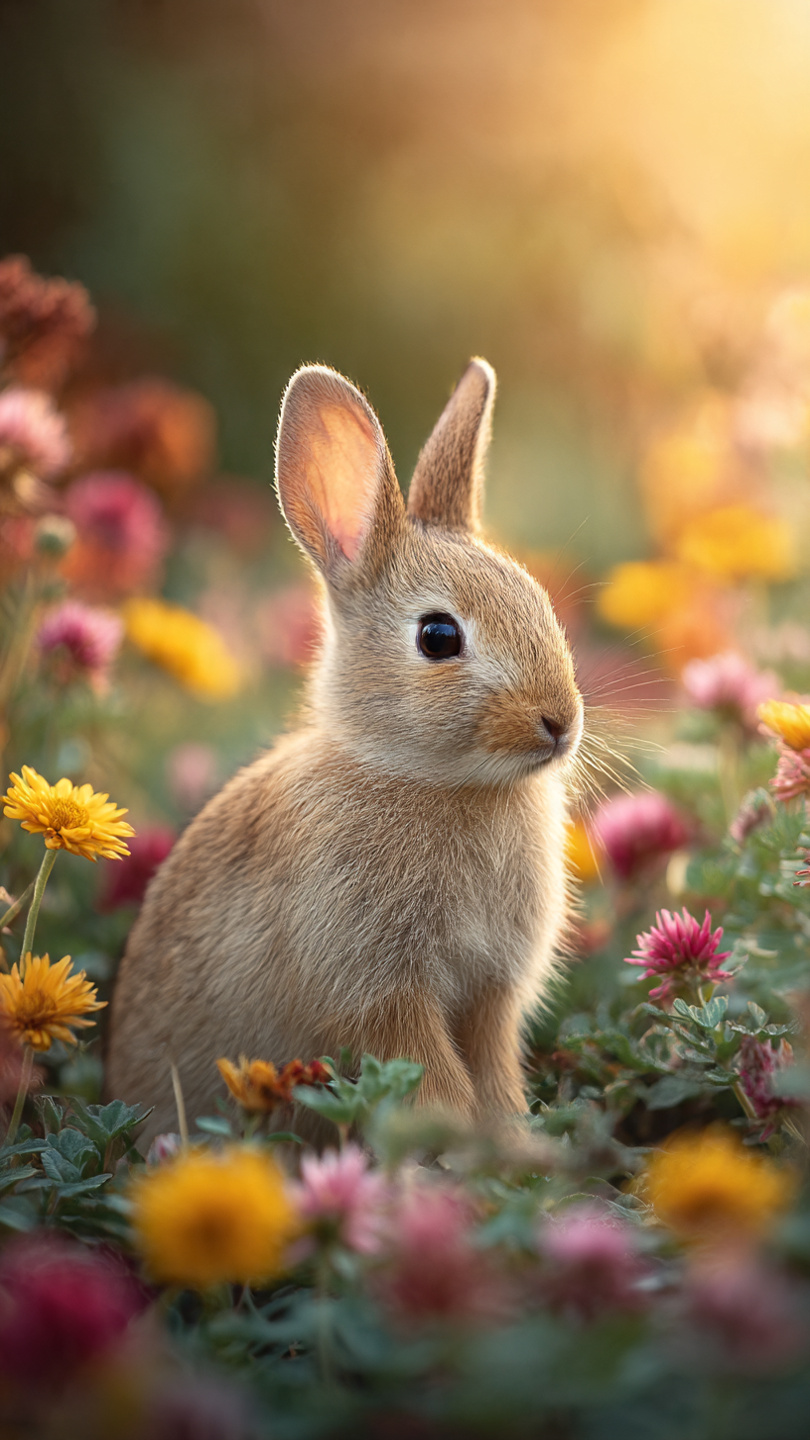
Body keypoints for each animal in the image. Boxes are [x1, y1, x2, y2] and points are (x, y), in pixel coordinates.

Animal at [105, 358, 584, 1145]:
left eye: (540, 603)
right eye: (438, 637)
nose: (561, 723)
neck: (430, 777)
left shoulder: (490, 996)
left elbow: (494, 1077)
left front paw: (515, 1148)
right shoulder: (376, 988)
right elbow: (436, 1080)